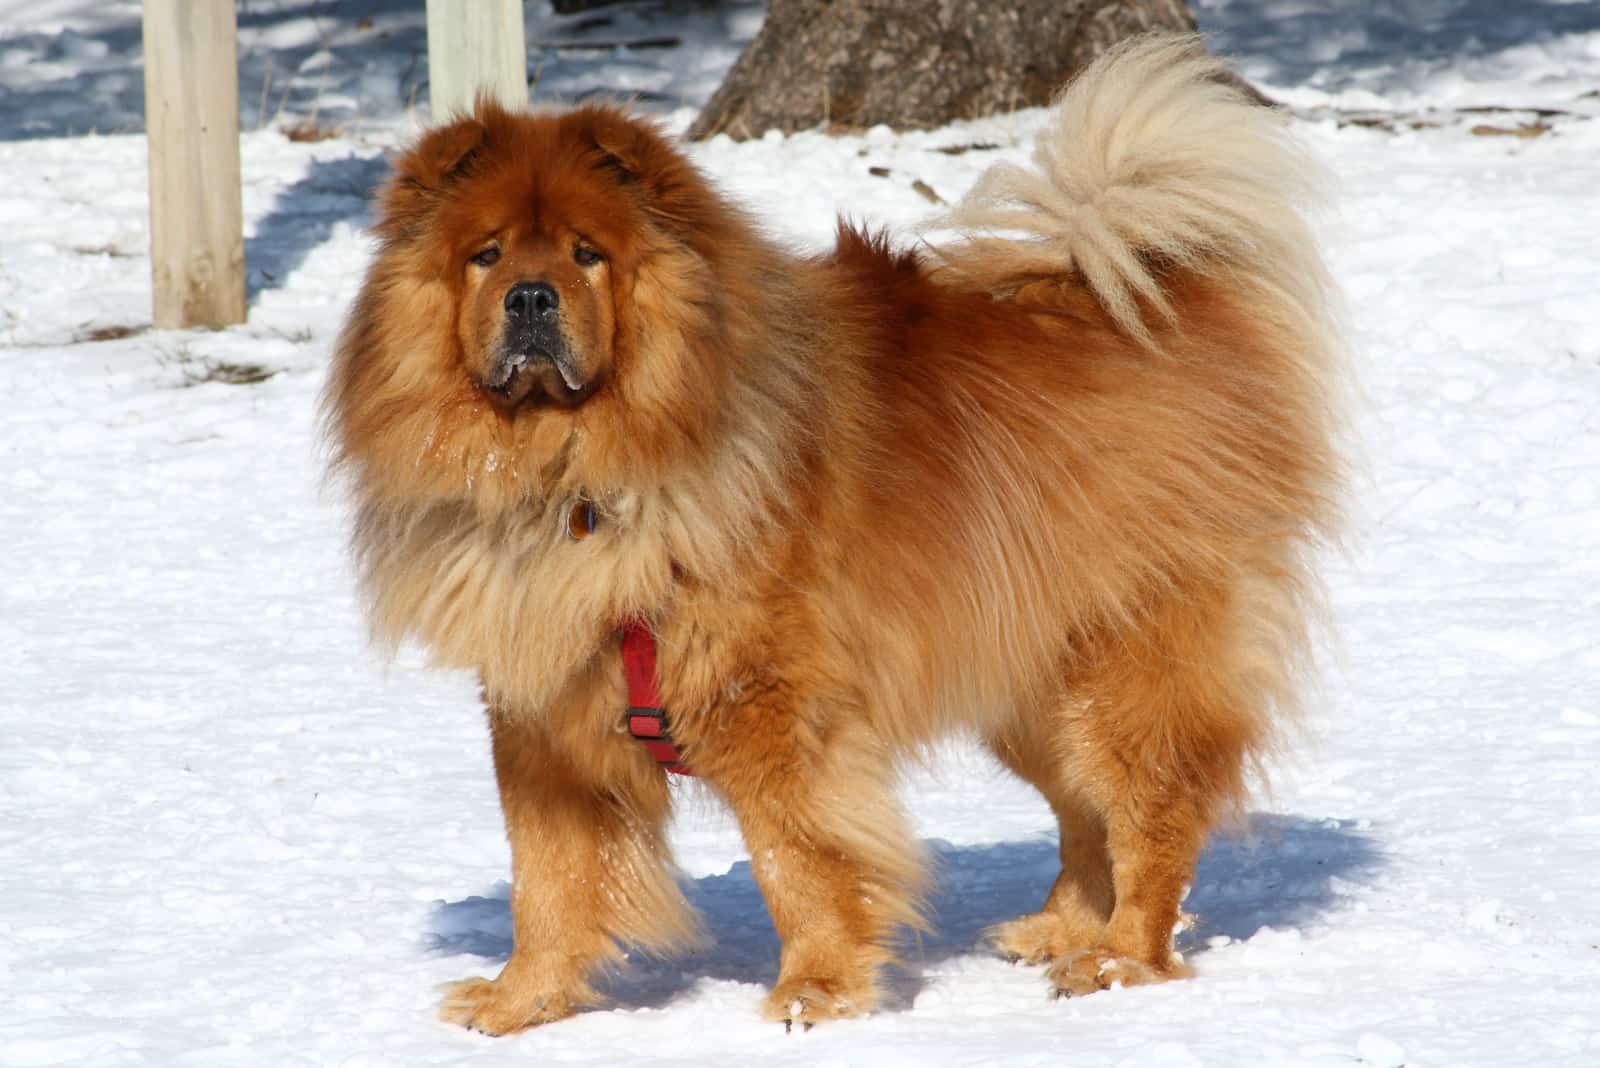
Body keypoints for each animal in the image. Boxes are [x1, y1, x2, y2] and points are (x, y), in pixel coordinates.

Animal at [328, 37, 1350, 1029]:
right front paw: (519, 1001)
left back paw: (1119, 959)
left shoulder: (773, 710)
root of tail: (1143, 297)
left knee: (1147, 810)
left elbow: (801, 862)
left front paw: (814, 993)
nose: (531, 298)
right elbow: (545, 878)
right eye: (486, 255)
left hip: (1120, 669)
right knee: (1082, 813)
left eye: (587, 255)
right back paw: (1058, 932)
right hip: (1024, 681)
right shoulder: (542, 714)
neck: (571, 478)